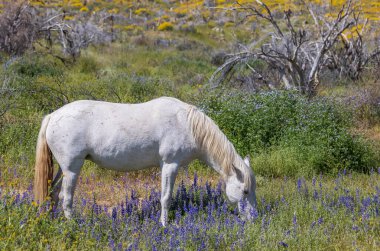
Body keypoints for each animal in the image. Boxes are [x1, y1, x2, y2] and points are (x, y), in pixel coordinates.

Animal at [34, 96, 256, 226]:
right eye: (245, 191)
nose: (254, 218)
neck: (187, 124)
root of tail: (53, 116)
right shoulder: (169, 165)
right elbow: (166, 197)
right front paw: (165, 225)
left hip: (63, 168)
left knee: (53, 192)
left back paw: (52, 220)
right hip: (72, 168)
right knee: (65, 197)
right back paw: (73, 225)